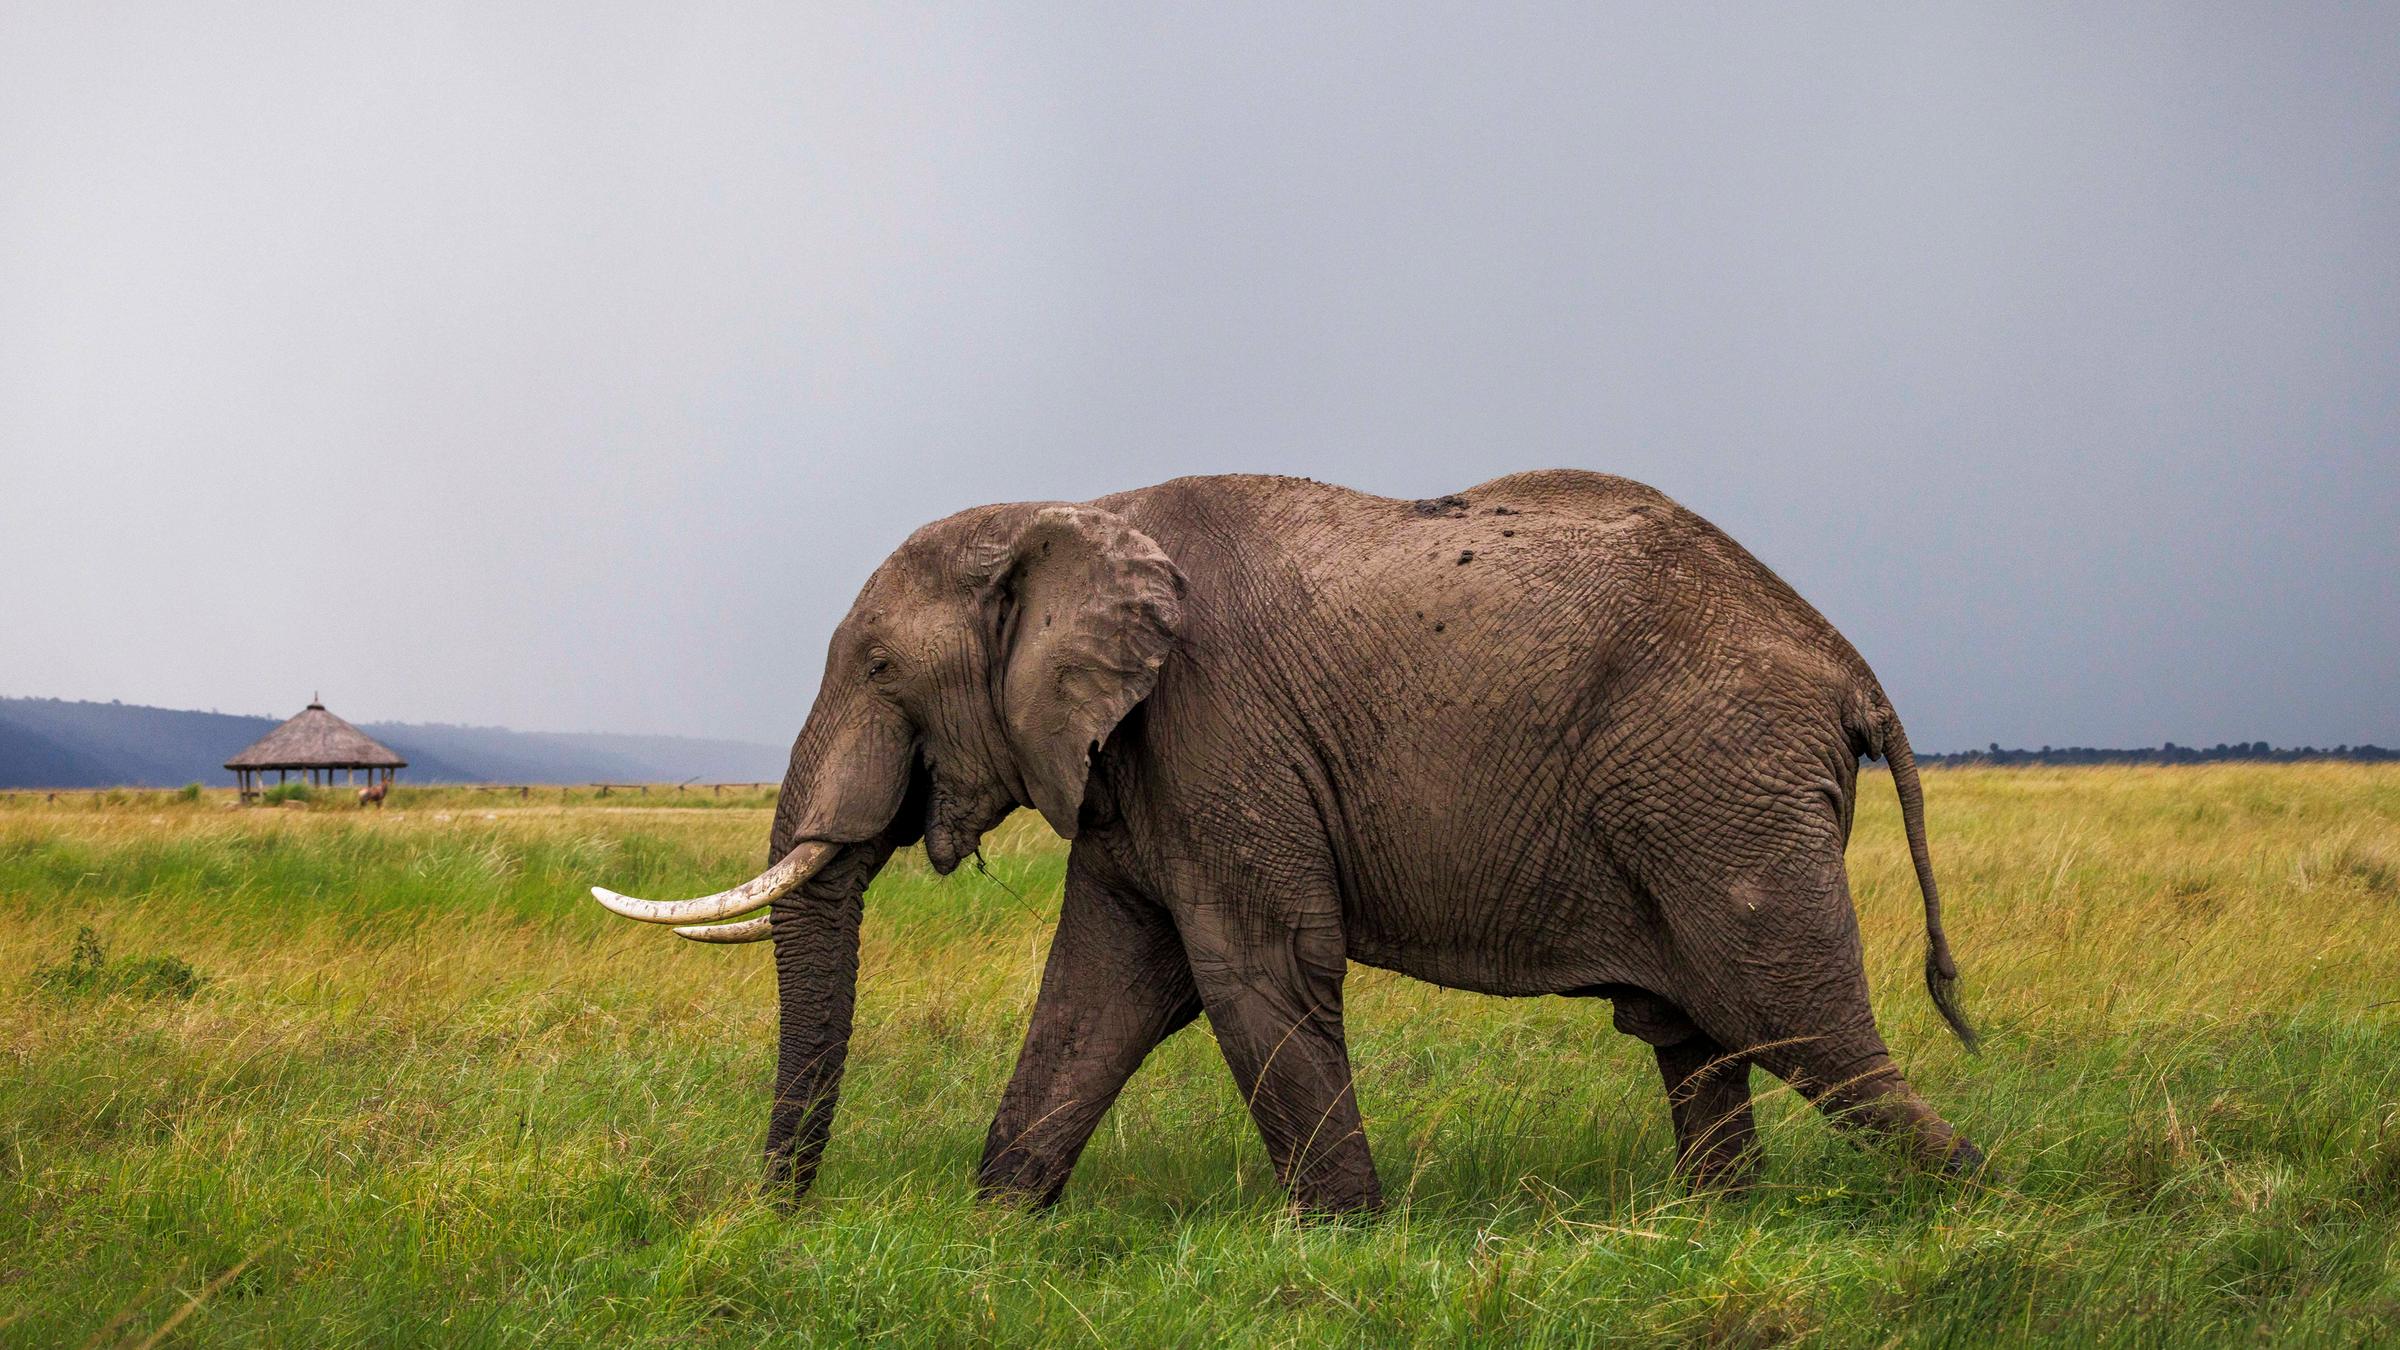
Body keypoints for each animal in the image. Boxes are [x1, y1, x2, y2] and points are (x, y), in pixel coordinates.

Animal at [590, 470, 1982, 1214]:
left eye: (880, 666)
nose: (780, 1218)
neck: (1074, 510)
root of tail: (1851, 666)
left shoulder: (1217, 728)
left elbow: (1250, 973)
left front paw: (1352, 1245)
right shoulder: (1139, 770)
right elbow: (1102, 987)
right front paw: (994, 1227)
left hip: (1721, 794)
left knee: (1802, 1029)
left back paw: (1971, 1205)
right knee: (1703, 1041)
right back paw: (1718, 1231)